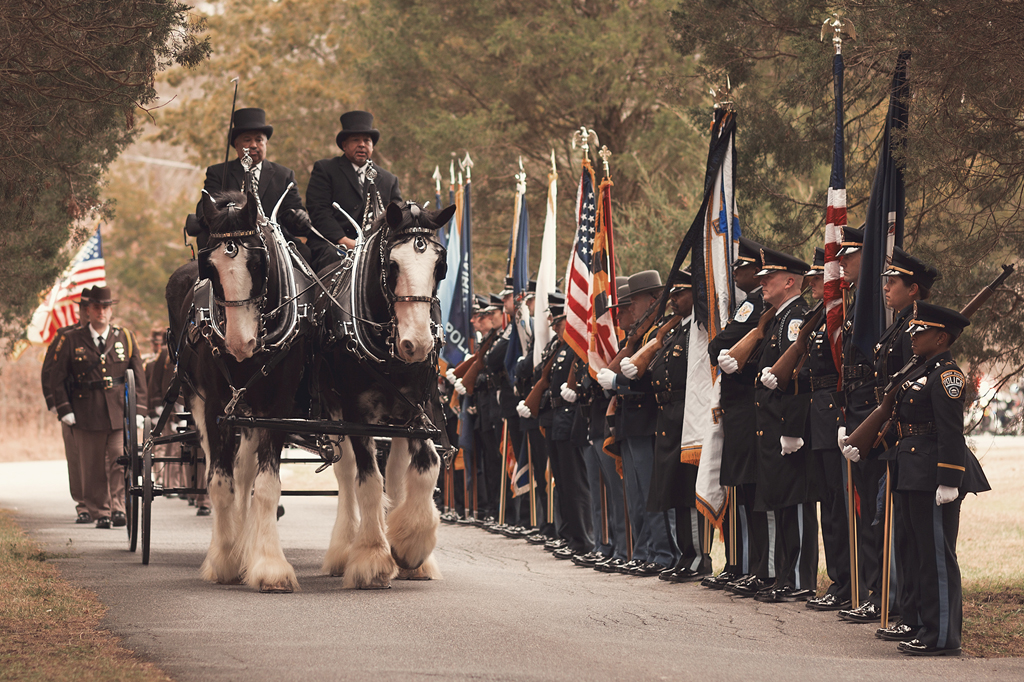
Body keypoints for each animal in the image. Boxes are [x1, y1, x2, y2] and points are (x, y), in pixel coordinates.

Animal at [313, 199, 454, 585]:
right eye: (392, 265)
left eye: (440, 266)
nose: (417, 345)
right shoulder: (356, 415)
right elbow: (368, 480)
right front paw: (372, 557)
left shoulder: (418, 411)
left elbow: (427, 466)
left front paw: (411, 547)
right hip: (334, 412)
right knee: (347, 474)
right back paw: (344, 549)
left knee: (395, 468)